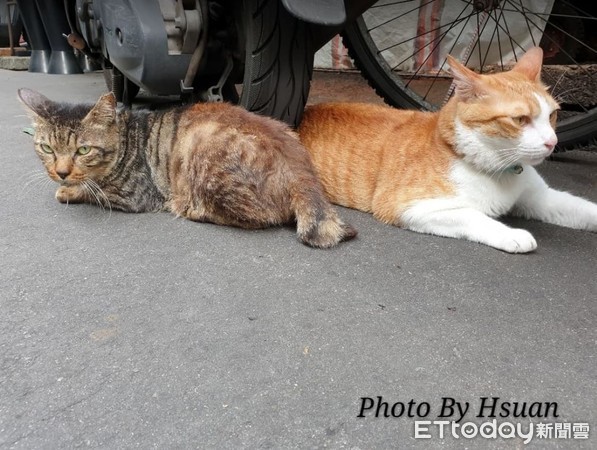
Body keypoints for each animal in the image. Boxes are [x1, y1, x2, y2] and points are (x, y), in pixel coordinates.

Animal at [17, 89, 354, 248]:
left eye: (83, 150)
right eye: (47, 149)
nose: (60, 171)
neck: (127, 137)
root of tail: (302, 170)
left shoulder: (134, 195)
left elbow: (94, 190)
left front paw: (68, 190)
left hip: (203, 155)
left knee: (260, 218)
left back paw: (192, 209)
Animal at [298, 48, 596, 255]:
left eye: (553, 115)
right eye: (520, 119)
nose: (552, 142)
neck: (500, 171)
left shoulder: (540, 198)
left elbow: (584, 208)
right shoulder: (405, 205)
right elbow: (472, 215)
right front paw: (513, 234)